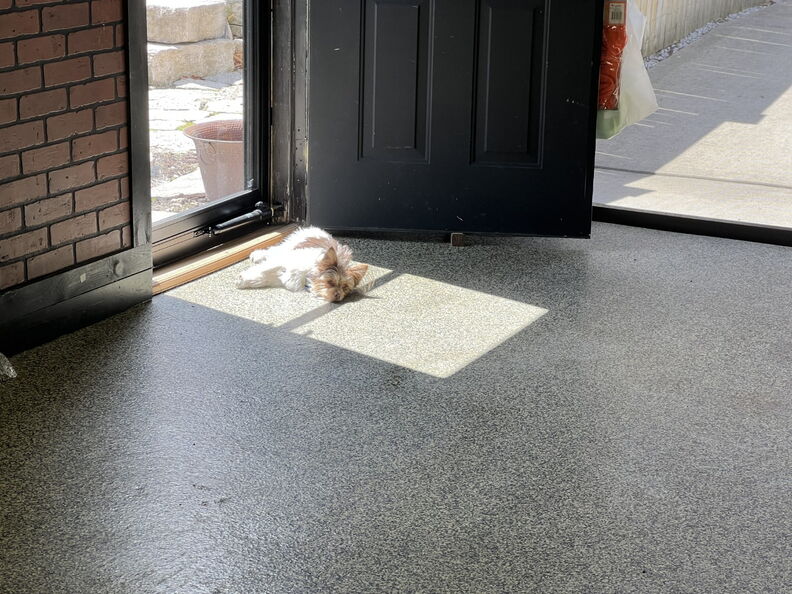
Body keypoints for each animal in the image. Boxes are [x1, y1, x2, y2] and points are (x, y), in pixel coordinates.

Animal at [236, 227, 368, 302]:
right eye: (330, 282)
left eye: (345, 288)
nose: (338, 295)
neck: (307, 276)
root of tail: (318, 230)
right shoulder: (282, 261)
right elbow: (264, 269)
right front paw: (243, 279)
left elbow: (264, 278)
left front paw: (247, 280)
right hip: (290, 244)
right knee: (274, 251)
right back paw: (258, 255)